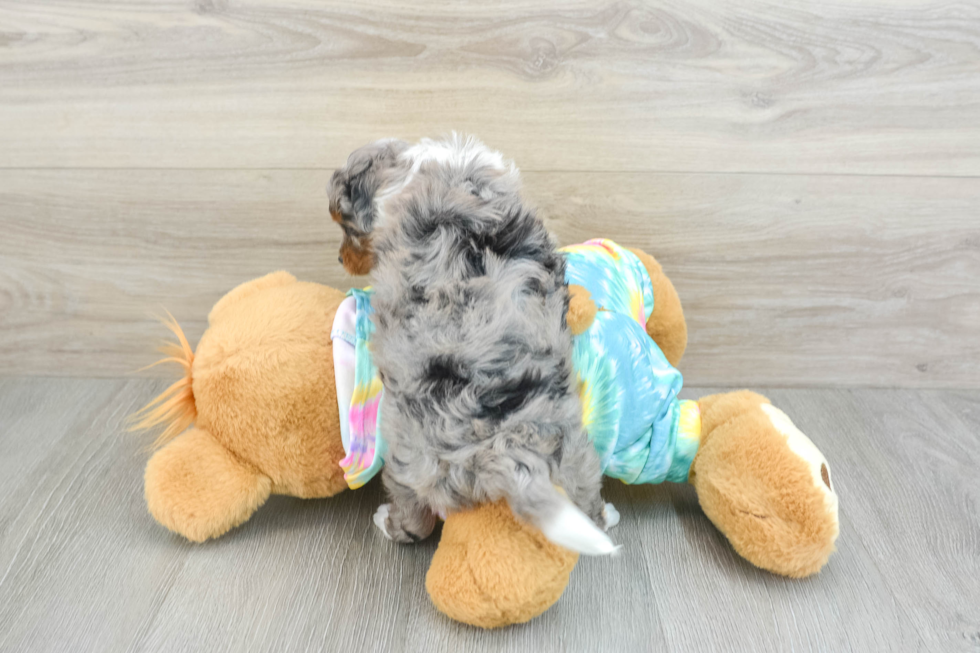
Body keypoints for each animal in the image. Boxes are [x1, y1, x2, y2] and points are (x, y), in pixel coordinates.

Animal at [330, 135, 620, 552]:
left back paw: (388, 521)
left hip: (408, 456)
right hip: (574, 454)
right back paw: (604, 517)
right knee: (586, 495)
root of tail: (502, 448)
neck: (418, 169)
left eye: (346, 227)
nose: (340, 258)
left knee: (414, 517)